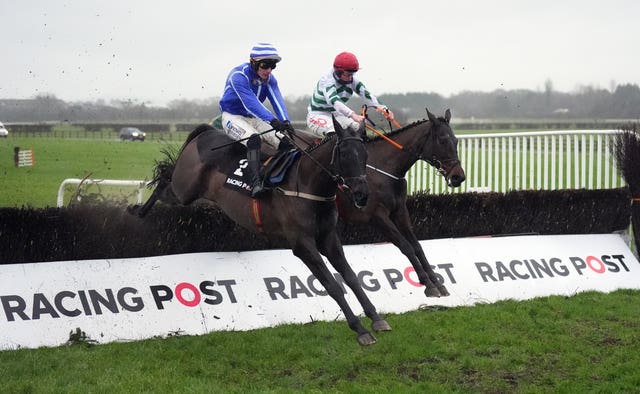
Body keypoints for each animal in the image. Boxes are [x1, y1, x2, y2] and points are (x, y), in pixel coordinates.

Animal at [129, 118, 390, 344]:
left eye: (366, 155)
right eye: (344, 155)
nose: (362, 194)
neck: (307, 184)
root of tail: (206, 133)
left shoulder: (328, 237)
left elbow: (351, 277)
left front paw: (376, 318)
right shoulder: (302, 244)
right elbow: (333, 285)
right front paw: (360, 330)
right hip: (184, 190)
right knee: (165, 179)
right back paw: (137, 210)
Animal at [336, 107, 464, 298]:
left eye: (455, 140)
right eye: (442, 140)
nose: (458, 177)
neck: (384, 169)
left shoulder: (400, 211)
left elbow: (417, 246)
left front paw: (437, 282)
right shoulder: (377, 216)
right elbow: (406, 246)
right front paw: (428, 284)